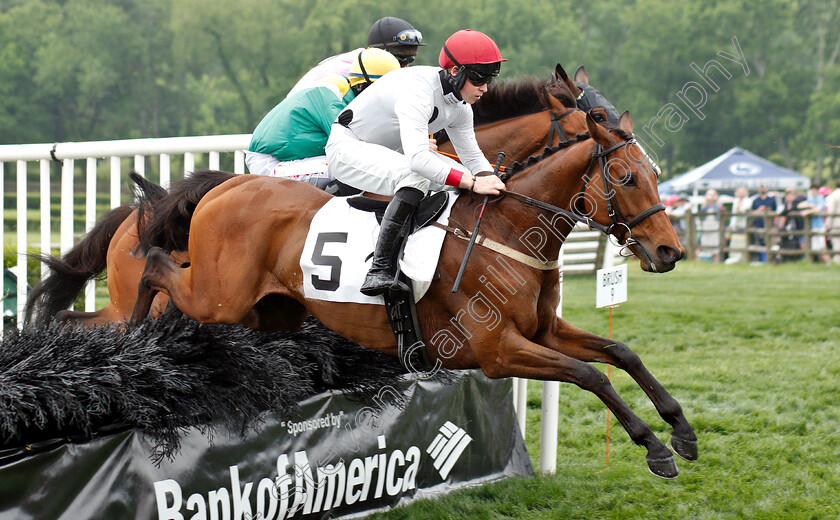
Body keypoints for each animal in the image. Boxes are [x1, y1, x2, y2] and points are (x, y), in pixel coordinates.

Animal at [131, 110, 696, 480]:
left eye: (657, 174)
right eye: (626, 177)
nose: (670, 250)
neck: (509, 230)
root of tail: (228, 186)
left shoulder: (544, 330)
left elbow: (621, 353)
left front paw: (681, 430)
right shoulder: (499, 351)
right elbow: (589, 375)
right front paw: (654, 448)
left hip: (268, 312)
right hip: (220, 295)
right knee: (155, 265)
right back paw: (136, 338)